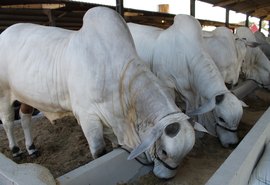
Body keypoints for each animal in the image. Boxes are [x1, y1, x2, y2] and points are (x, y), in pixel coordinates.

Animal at [0, 6, 195, 178]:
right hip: (4, 94)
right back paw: (16, 150)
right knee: (8, 121)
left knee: (24, 117)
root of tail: (5, 32)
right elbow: (99, 151)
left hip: (26, 96)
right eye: (164, 151)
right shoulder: (88, 117)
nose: (167, 177)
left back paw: (31, 148)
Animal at [127, 14, 244, 147]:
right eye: (221, 118)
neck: (185, 55)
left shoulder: (193, 90)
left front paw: (198, 133)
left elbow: (193, 110)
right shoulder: (166, 82)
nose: (232, 144)